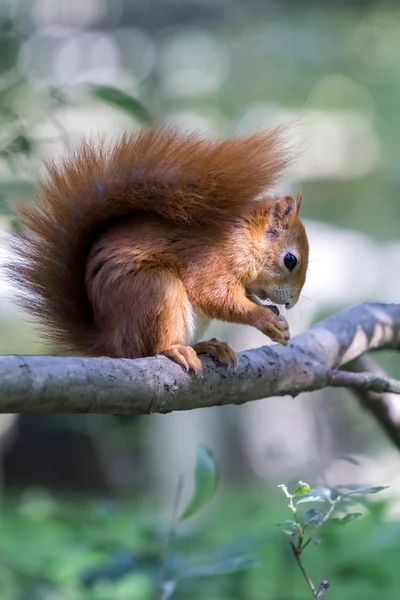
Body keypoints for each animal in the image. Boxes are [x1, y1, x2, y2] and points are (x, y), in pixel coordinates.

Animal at [8, 125, 310, 370]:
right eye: (290, 260)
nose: (292, 303)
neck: (242, 237)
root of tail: (111, 343)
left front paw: (273, 316)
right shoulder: (210, 258)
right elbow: (214, 295)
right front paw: (264, 318)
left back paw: (207, 346)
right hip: (155, 290)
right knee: (150, 348)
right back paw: (175, 349)